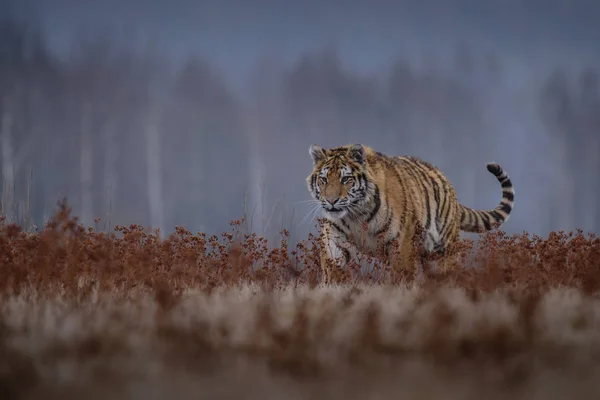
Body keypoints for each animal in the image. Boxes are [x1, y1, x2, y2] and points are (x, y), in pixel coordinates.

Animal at [308, 142, 512, 282]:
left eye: (346, 179)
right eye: (324, 179)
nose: (331, 201)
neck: (355, 215)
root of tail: (453, 194)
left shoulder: (401, 241)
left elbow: (403, 273)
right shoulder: (334, 235)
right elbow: (332, 262)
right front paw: (331, 286)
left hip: (442, 252)